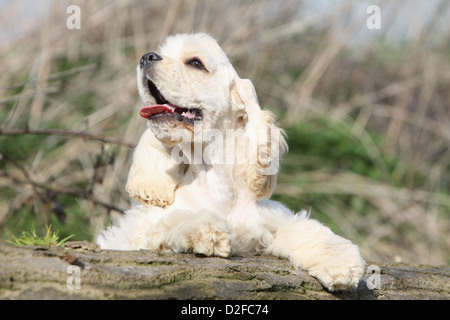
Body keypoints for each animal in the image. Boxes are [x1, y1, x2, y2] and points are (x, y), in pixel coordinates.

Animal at [96, 33, 364, 292]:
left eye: (195, 63)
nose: (146, 57)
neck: (212, 175)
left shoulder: (268, 222)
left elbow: (305, 229)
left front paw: (340, 263)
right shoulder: (134, 233)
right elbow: (170, 222)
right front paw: (208, 232)